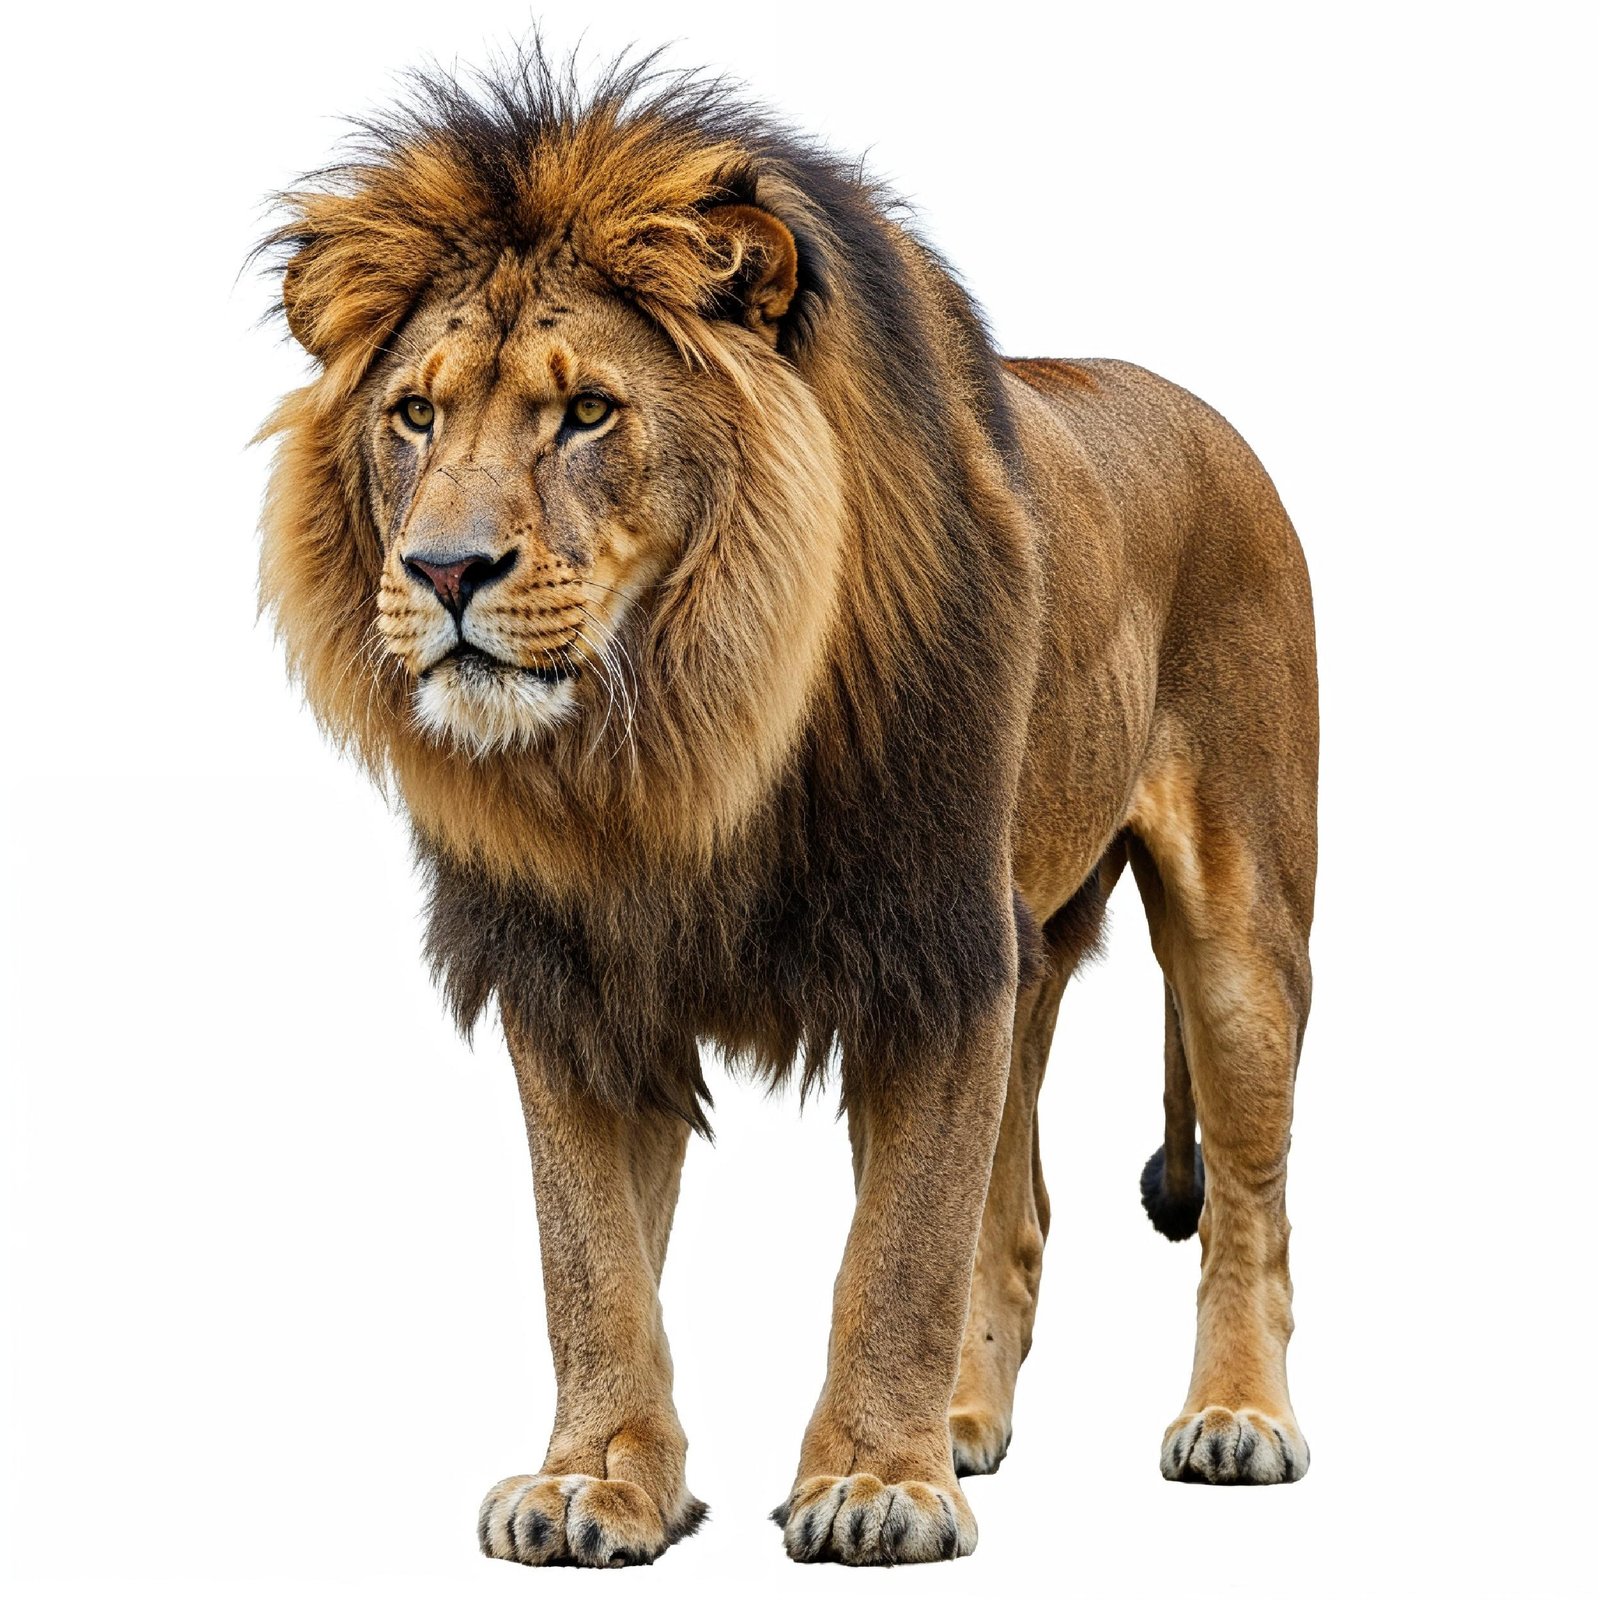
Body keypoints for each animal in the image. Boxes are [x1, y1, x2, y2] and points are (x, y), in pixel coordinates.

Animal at [256, 48, 1317, 1567]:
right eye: (415, 414)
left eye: (588, 412)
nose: (445, 571)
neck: (669, 737)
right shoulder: (568, 971)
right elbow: (590, 1260)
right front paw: (595, 1480)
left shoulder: (933, 945)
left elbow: (897, 1252)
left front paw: (874, 1484)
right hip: (1032, 953)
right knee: (1019, 1211)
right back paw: (965, 1422)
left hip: (1240, 933)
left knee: (1248, 1198)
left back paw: (1233, 1418)